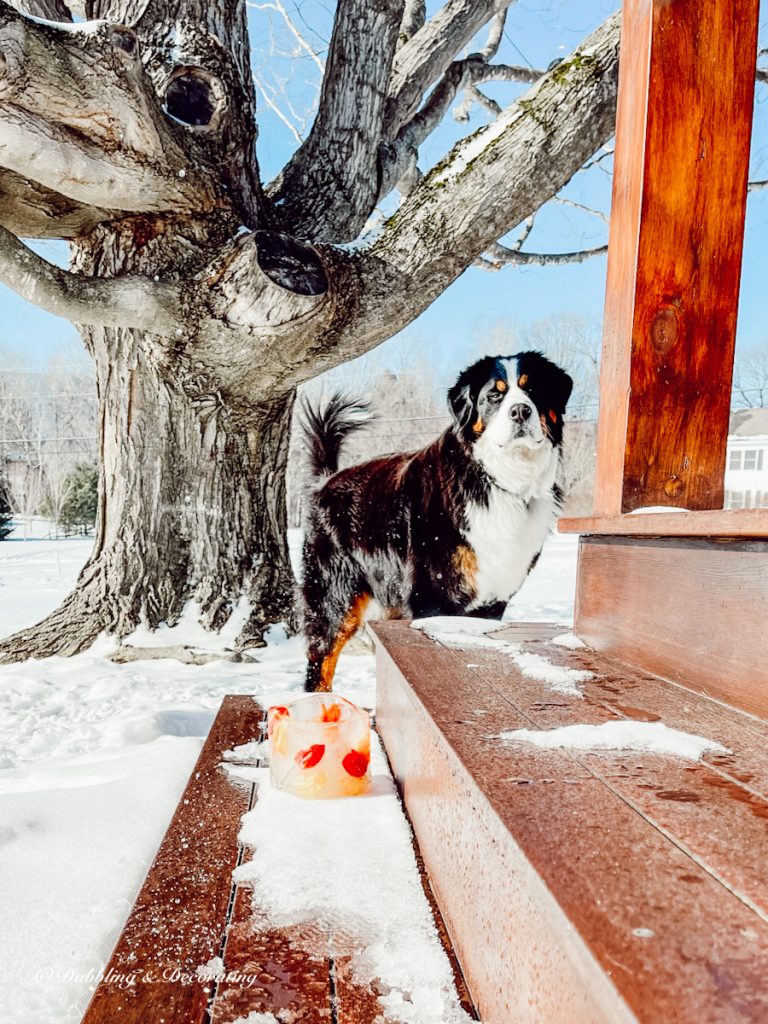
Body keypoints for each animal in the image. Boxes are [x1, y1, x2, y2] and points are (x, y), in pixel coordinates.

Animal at [299, 354, 573, 696]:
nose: (520, 411)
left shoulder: (494, 600)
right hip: (335, 598)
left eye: (532, 389)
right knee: (320, 662)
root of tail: (326, 481)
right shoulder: (432, 596)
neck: (496, 481)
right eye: (494, 396)